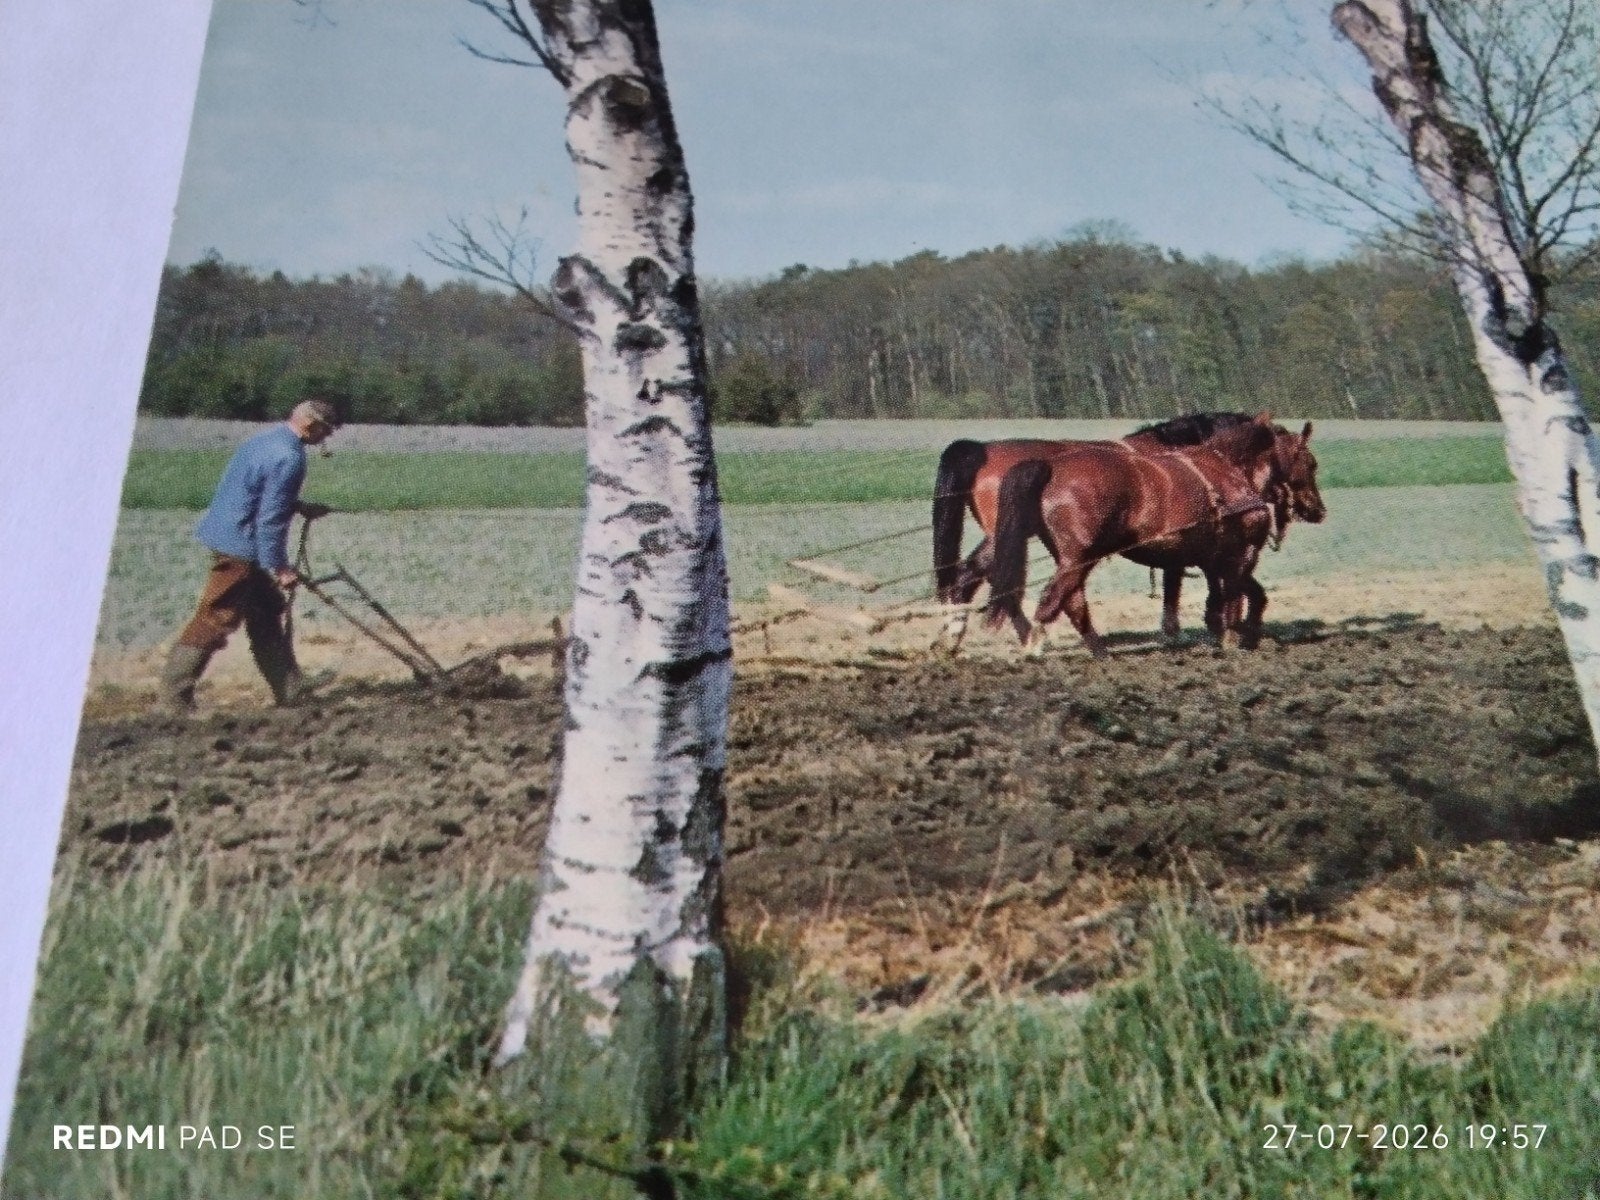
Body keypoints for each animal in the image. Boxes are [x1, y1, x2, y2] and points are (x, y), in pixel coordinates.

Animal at [983, 416, 1326, 656]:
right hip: (1078, 557)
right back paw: (1033, 649)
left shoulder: (1209, 557)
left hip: (1074, 558)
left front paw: (1230, 630)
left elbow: (1236, 594)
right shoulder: (1241, 552)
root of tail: (1051, 467)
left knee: (1072, 601)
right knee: (1052, 599)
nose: (1318, 510)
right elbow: (1237, 594)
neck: (1230, 471)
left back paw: (1099, 651)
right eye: (1311, 463)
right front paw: (1233, 637)